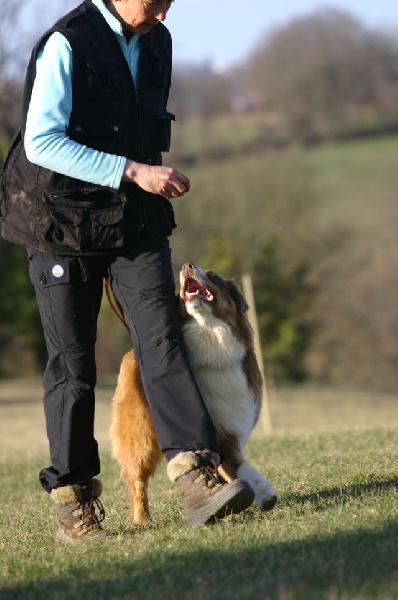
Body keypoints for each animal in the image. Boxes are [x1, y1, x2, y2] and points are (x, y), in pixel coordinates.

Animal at [109, 260, 276, 524]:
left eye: (213, 276)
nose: (187, 265)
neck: (210, 335)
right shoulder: (218, 432)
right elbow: (239, 464)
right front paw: (265, 493)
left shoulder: (230, 425)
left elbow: (231, 464)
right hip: (139, 438)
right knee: (137, 482)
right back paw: (142, 520)